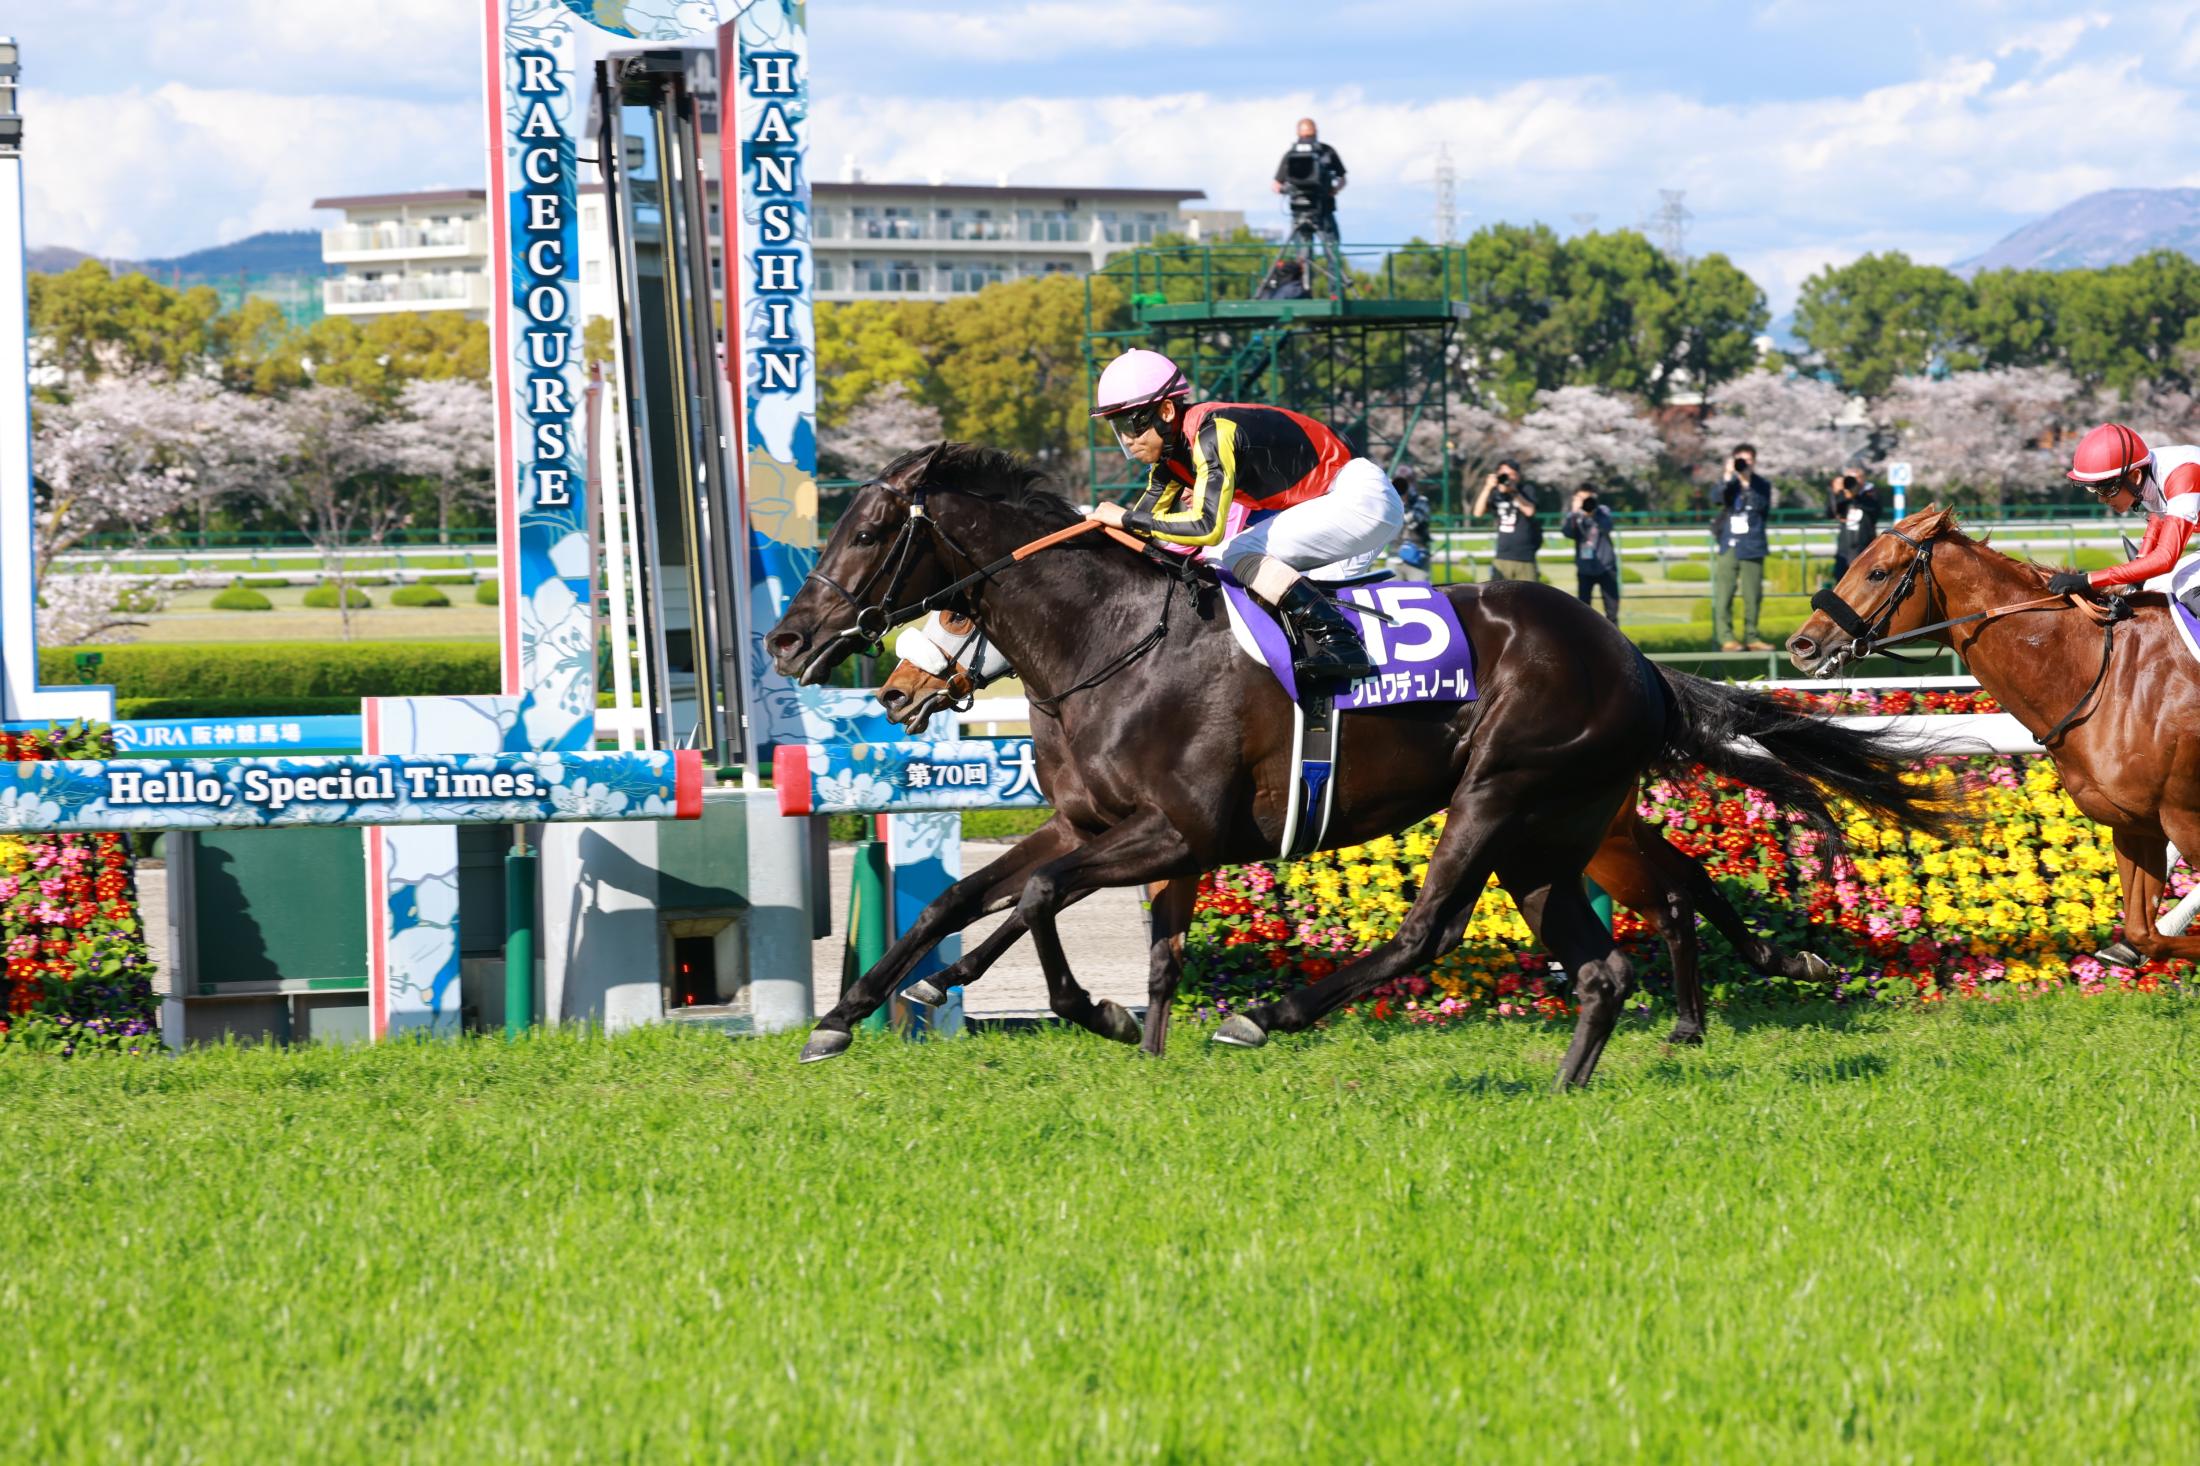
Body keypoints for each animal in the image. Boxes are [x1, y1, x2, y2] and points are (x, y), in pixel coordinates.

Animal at [874, 614, 1835, 1050]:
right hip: (1578, 826)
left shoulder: (1170, 830)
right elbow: (988, 898)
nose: (892, 691)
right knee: (1679, 883)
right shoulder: (1099, 824)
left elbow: (1045, 901)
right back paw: (1741, 986)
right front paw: (878, 1000)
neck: (1123, 653)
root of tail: (1636, 660)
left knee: (1440, 925)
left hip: (1507, 799)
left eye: (956, 615)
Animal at [1790, 504, 2200, 965]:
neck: (2106, 675)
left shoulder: (2186, 818)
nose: (1802, 645)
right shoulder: (2134, 823)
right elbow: (2142, 933)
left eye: (1877, 572)